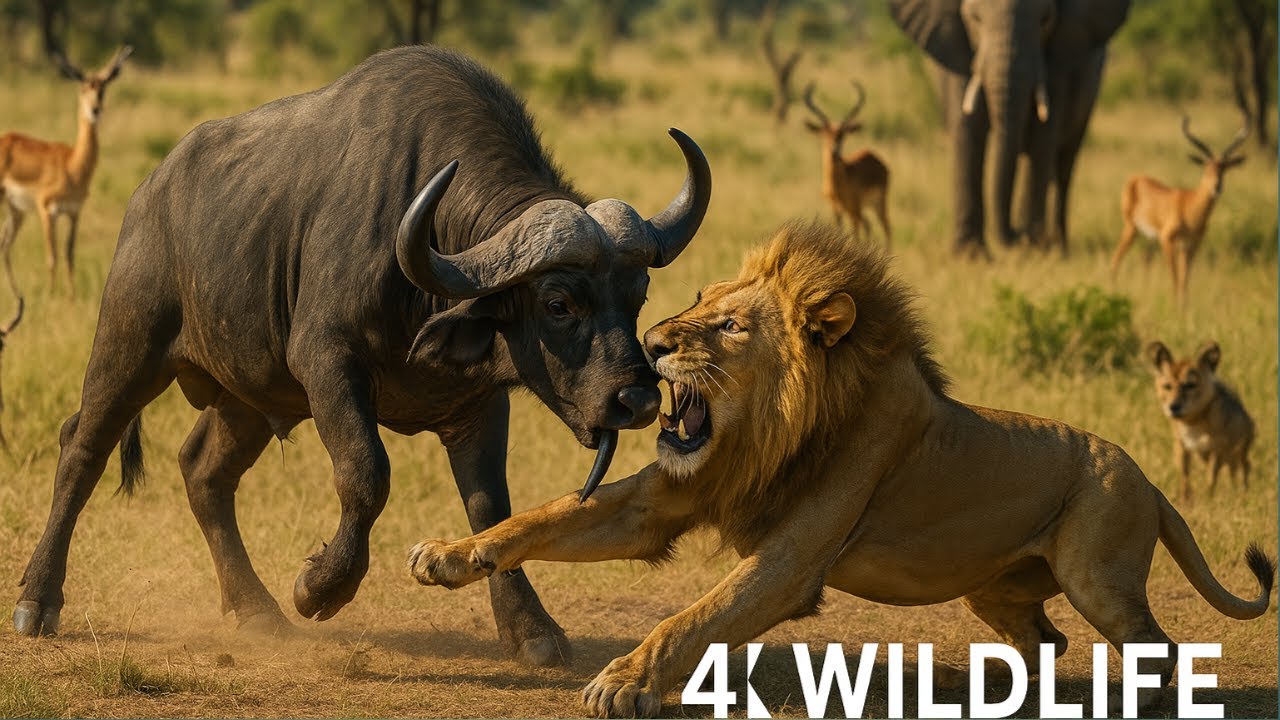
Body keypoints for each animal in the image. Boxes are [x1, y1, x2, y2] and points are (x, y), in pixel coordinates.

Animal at [13, 46, 710, 666]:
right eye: (559, 302)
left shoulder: (478, 403)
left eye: (638, 294)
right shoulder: (328, 365)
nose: (637, 398)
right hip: (131, 346)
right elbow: (366, 473)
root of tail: (149, 194)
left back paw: (256, 611)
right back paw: (37, 602)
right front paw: (319, 588)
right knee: (83, 445)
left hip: (250, 395)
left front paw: (531, 629)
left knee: (202, 471)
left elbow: (492, 506)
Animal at [407, 222, 1275, 717]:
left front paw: (623, 682)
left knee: (1156, 647)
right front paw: (447, 555)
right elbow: (544, 517)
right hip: (995, 590)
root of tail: (1151, 479)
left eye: (728, 326)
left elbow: (699, 616)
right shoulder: (662, 499)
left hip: (1100, 574)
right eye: (697, 299)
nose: (651, 345)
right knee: (1047, 640)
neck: (764, 433)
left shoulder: (792, 560)